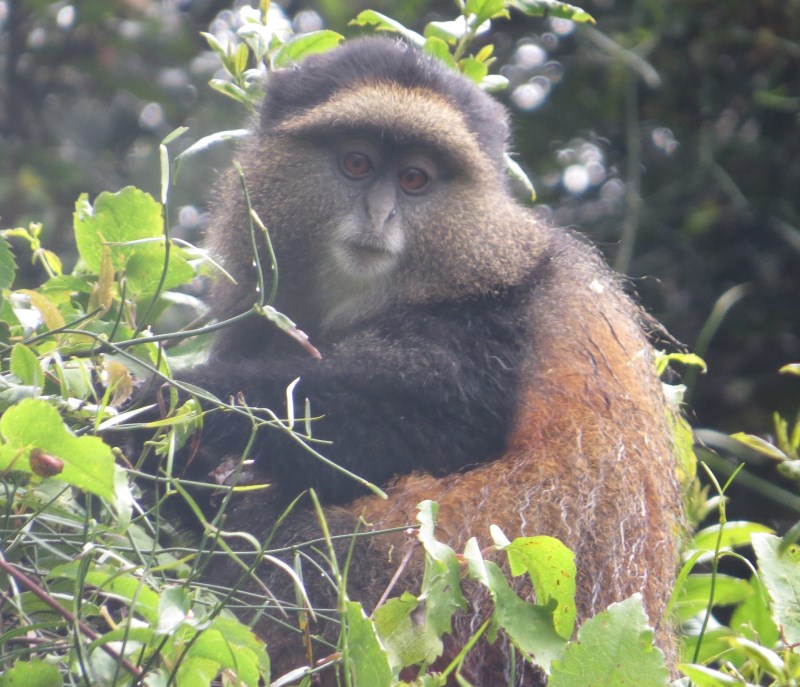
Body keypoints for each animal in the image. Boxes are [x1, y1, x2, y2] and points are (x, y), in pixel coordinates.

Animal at [153, 36, 684, 685]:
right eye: (357, 164)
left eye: (414, 178)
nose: (379, 214)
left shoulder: (488, 323)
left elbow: (434, 420)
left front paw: (173, 403)